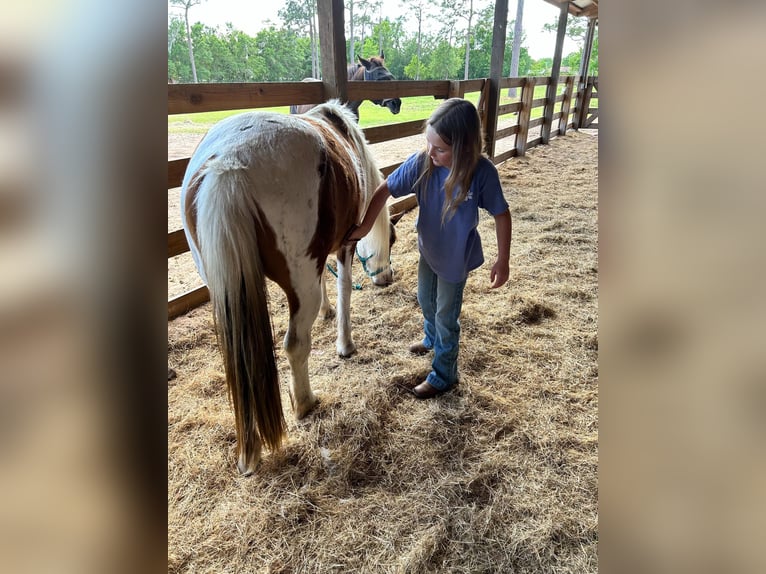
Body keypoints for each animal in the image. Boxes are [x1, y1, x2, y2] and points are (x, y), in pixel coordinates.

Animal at [181, 101, 396, 474]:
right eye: (392, 240)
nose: (386, 278)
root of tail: (229, 162)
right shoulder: (345, 244)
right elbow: (344, 289)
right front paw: (345, 344)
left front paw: (327, 313)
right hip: (298, 284)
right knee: (296, 344)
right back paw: (305, 403)